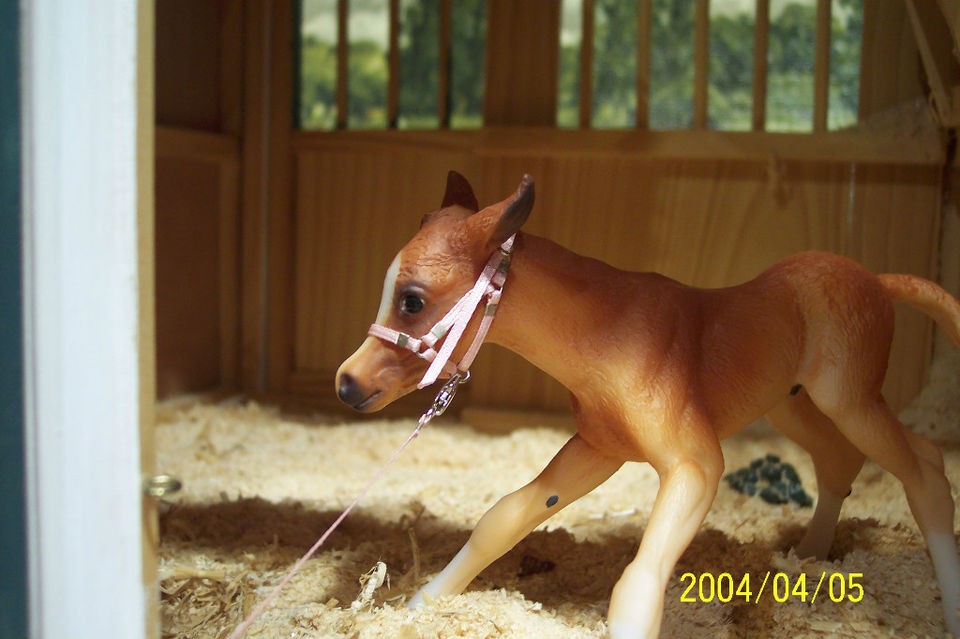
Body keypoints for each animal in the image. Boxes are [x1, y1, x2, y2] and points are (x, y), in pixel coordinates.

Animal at [336, 172, 960, 636]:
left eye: (412, 300)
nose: (348, 383)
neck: (608, 338)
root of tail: (877, 280)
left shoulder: (695, 465)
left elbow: (641, 574)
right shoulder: (598, 449)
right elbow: (505, 519)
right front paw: (421, 605)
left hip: (849, 399)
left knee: (924, 466)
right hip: (793, 405)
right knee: (839, 461)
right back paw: (807, 556)